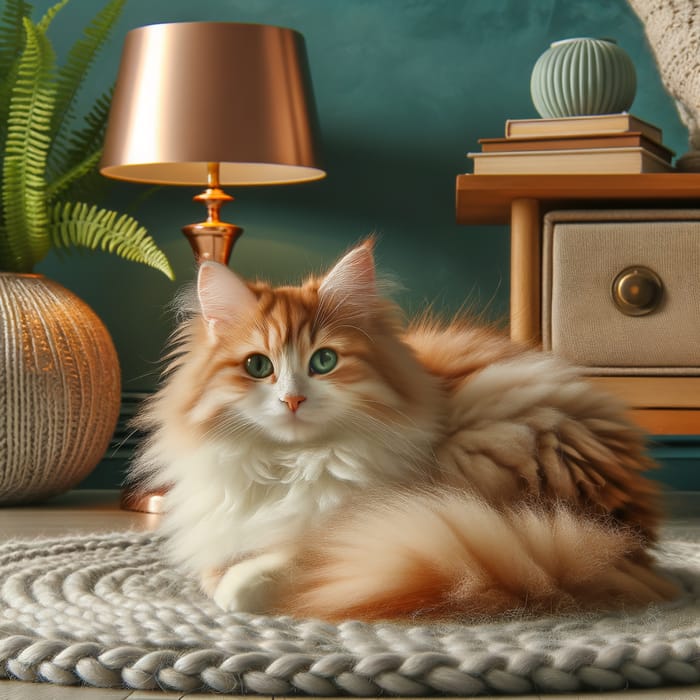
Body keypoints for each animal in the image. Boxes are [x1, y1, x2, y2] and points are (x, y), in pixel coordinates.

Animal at [131, 242, 680, 624]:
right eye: (258, 366)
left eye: (324, 361)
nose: (292, 400)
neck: (293, 466)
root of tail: (623, 532)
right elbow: (213, 563)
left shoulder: (360, 524)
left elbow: (270, 569)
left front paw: (248, 585)